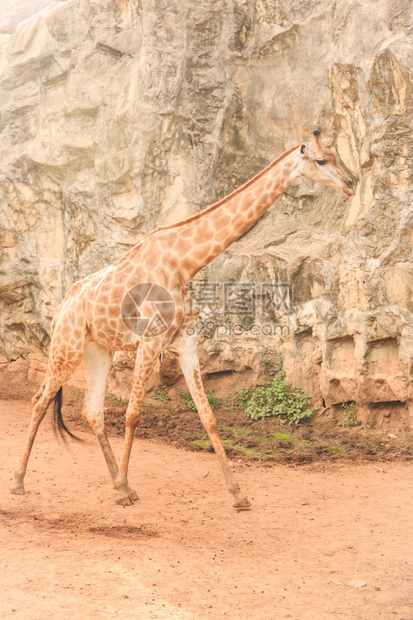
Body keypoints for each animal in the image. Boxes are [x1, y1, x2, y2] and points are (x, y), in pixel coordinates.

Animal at [11, 130, 356, 508]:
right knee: (40, 400)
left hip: (97, 351)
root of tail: (61, 307)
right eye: (322, 160)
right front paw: (128, 482)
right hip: (67, 346)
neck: (185, 262)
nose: (352, 183)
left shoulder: (185, 343)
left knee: (92, 411)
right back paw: (20, 482)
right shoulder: (150, 341)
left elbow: (208, 416)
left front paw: (238, 494)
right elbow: (133, 414)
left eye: (336, 155)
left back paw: (119, 487)